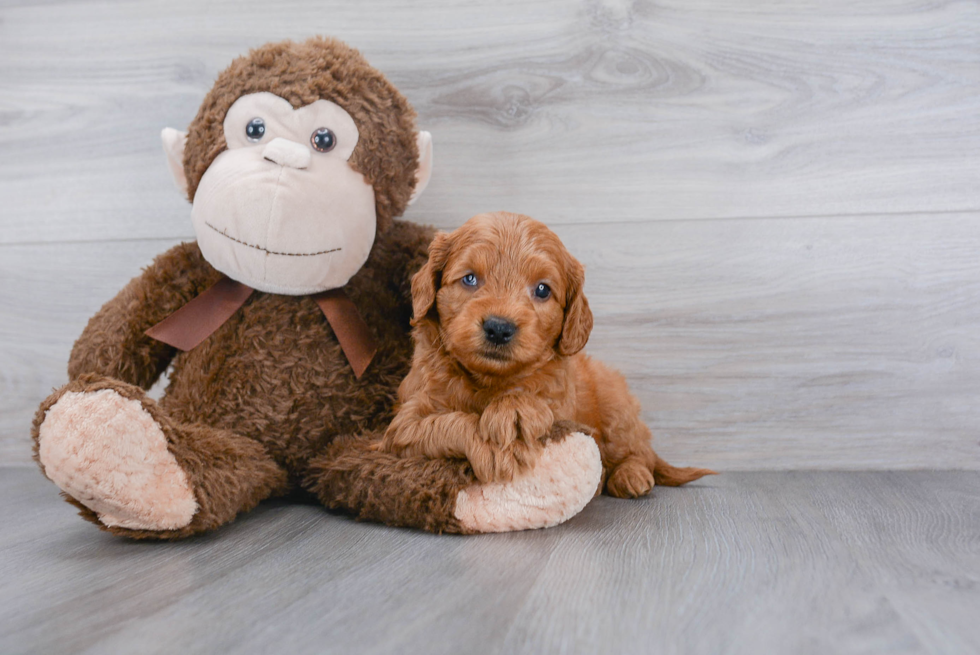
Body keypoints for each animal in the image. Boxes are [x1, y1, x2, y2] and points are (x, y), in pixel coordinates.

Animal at [380, 213, 712, 500]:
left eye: (542, 289)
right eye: (470, 279)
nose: (499, 328)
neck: (488, 381)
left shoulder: (562, 401)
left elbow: (536, 395)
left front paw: (512, 412)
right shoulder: (402, 427)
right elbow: (444, 422)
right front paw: (492, 446)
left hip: (616, 408)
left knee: (638, 451)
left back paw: (630, 475)